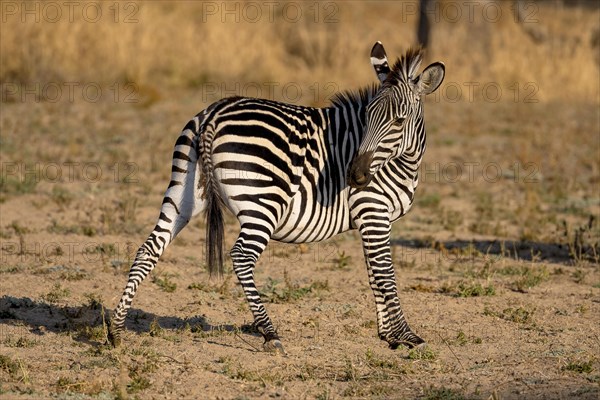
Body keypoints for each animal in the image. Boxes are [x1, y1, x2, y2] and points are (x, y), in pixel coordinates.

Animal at [109, 41, 446, 354]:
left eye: (398, 121)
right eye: (367, 117)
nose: (355, 177)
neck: (401, 159)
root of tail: (214, 113)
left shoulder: (370, 218)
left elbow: (375, 274)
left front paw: (388, 335)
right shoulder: (373, 210)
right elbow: (386, 274)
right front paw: (406, 336)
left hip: (184, 192)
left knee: (148, 249)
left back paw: (116, 331)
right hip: (263, 203)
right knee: (241, 256)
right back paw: (270, 333)